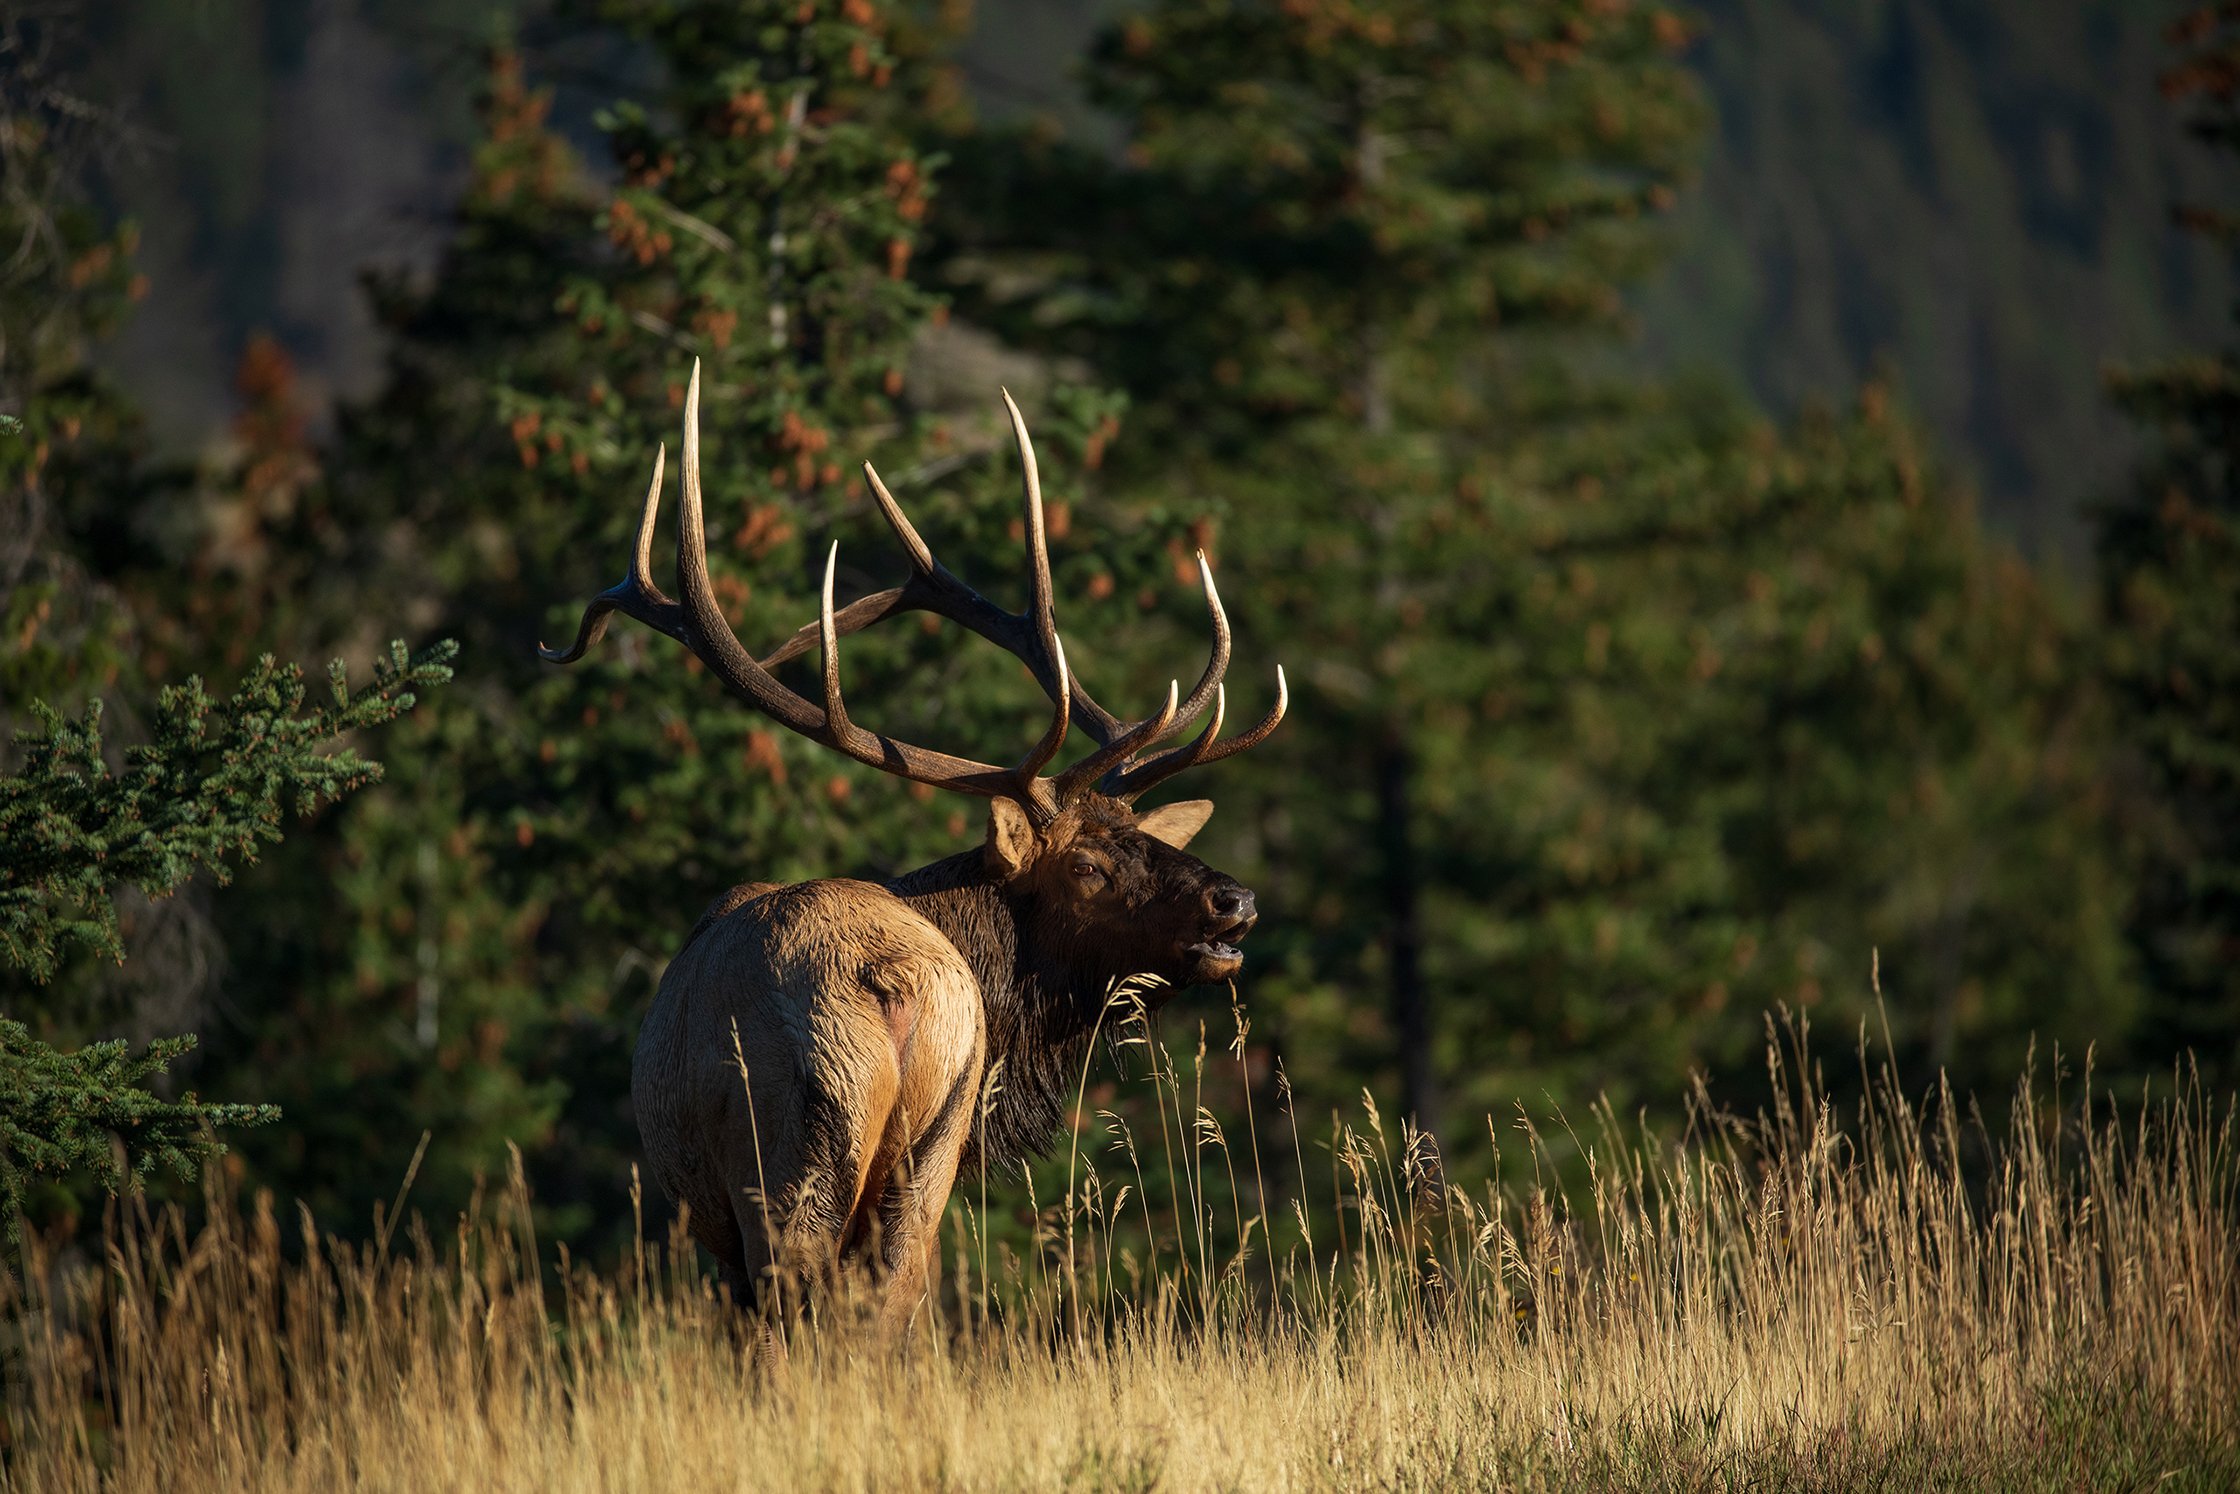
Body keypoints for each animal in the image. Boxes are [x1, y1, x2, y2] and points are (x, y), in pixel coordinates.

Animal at [542, 363, 1285, 1334]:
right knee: (890, 1300)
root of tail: (884, 977)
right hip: (925, 1151)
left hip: (790, 1155)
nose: (1235, 900)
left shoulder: (712, 1222)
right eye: (1088, 865)